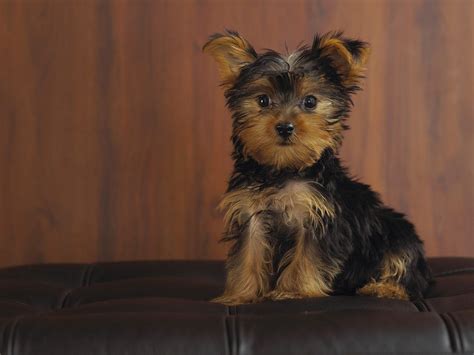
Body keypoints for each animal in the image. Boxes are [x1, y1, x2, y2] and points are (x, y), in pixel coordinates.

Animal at [202, 29, 432, 306]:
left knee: (408, 269)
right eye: (263, 100)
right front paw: (239, 295)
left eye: (310, 101)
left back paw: (386, 288)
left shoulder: (318, 215)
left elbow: (307, 256)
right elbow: (248, 254)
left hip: (396, 233)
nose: (285, 127)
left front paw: (294, 290)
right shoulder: (251, 214)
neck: (284, 169)